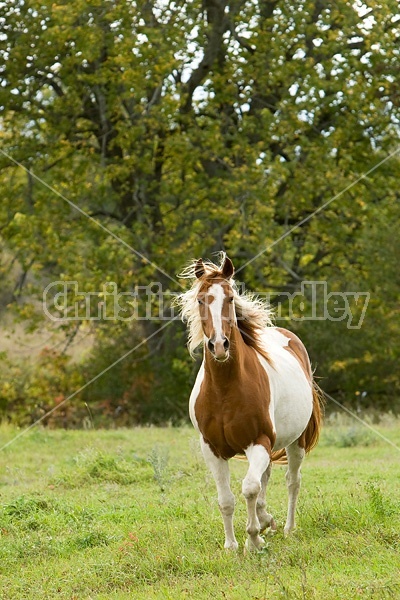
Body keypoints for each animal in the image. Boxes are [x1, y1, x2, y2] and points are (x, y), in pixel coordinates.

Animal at [178, 253, 322, 552]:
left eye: (231, 298)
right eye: (201, 300)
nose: (219, 345)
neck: (225, 391)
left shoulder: (258, 441)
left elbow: (249, 488)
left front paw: (254, 539)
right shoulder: (212, 449)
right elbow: (227, 499)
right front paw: (231, 545)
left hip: (296, 441)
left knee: (292, 481)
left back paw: (288, 528)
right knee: (266, 478)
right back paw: (267, 520)